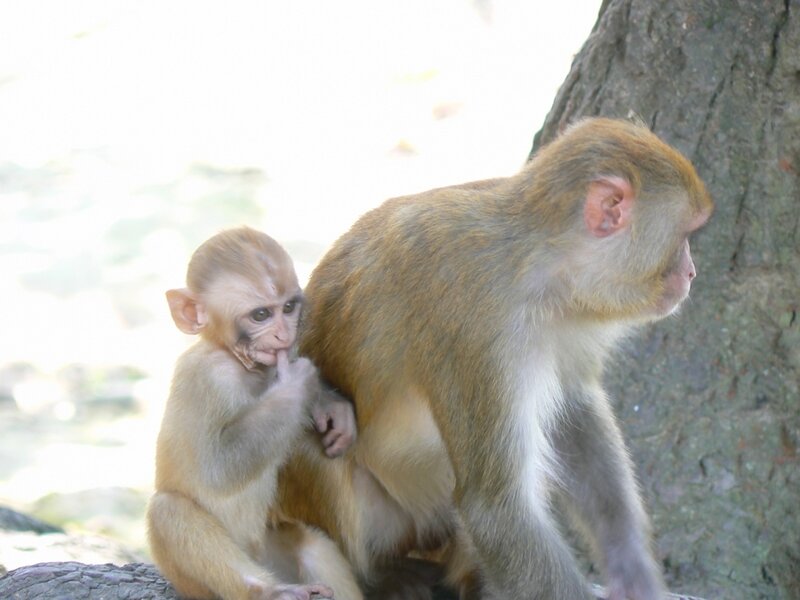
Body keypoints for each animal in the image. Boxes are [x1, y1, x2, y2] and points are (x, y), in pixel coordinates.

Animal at [146, 227, 363, 600]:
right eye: (260, 315)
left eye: (288, 308)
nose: (284, 334)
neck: (238, 364)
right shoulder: (203, 378)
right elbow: (216, 470)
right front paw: (296, 385)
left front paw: (327, 403)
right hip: (196, 584)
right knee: (167, 510)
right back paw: (269, 591)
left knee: (311, 543)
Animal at [276, 118, 713, 600]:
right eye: (685, 235)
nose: (691, 272)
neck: (538, 266)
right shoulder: (478, 327)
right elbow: (496, 509)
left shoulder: (570, 318)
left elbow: (572, 413)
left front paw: (632, 570)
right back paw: (381, 575)